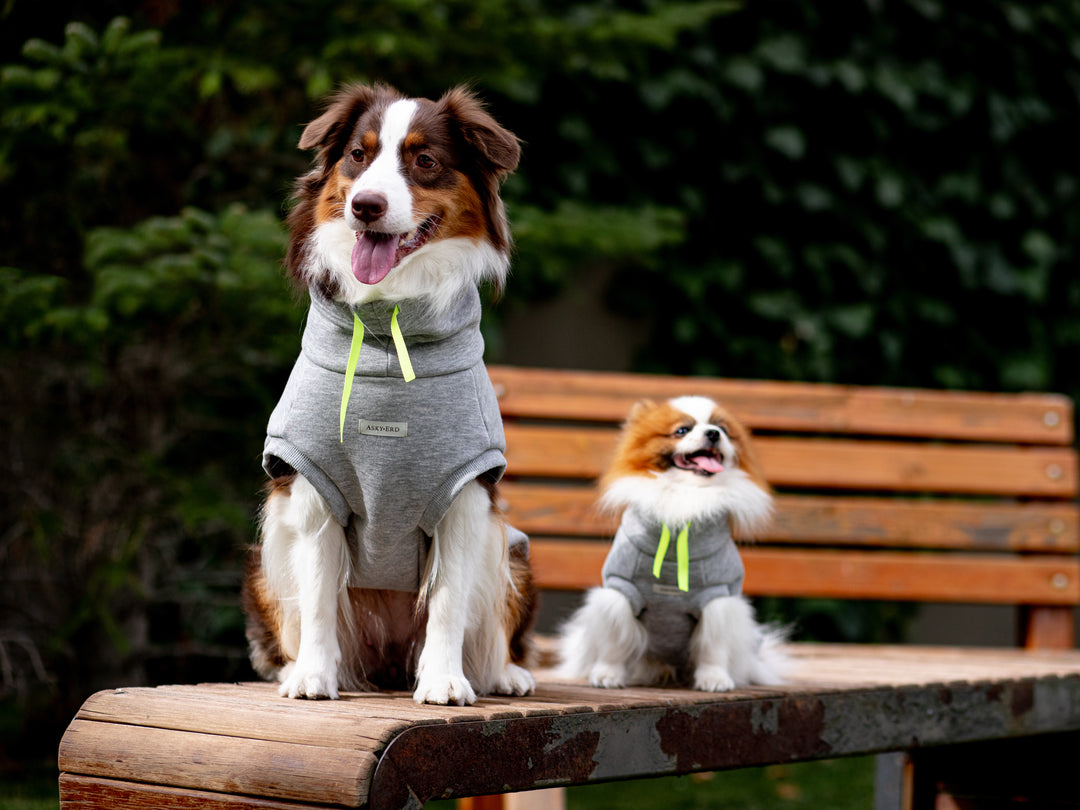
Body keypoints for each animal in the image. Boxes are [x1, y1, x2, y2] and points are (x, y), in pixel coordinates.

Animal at [240, 82, 535, 704]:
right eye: (358, 154)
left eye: (424, 161)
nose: (366, 206)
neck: (388, 316)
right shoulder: (313, 489)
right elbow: (319, 594)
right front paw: (313, 675)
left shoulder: (466, 493)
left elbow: (448, 599)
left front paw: (445, 679)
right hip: (264, 556)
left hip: (515, 548)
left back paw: (503, 673)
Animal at [557, 397, 786, 691]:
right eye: (682, 430)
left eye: (722, 428)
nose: (713, 433)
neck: (686, 496)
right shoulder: (620, 591)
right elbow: (615, 642)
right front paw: (607, 674)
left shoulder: (718, 597)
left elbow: (714, 646)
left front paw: (714, 679)